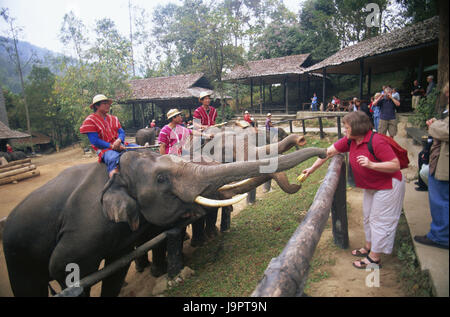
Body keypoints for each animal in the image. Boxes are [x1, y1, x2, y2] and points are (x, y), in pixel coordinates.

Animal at [1, 146, 326, 296]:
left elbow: (117, 266)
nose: (323, 152)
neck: (117, 173)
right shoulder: (84, 229)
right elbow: (62, 266)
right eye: (161, 179)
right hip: (15, 250)